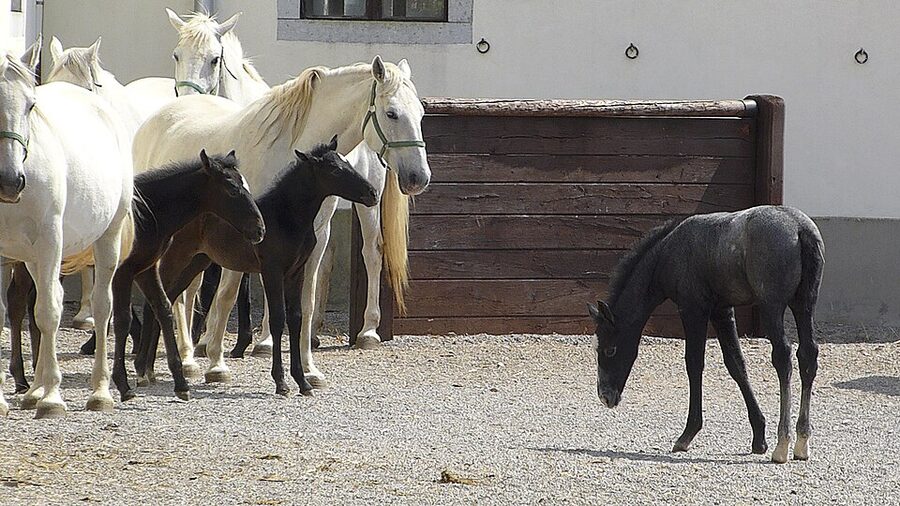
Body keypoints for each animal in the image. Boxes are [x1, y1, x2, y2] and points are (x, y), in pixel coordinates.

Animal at [0, 40, 134, 419]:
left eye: (30, 104)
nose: (10, 182)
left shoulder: (50, 242)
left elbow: (47, 313)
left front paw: (52, 399)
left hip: (105, 241)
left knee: (100, 307)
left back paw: (99, 391)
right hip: (33, 259)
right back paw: (33, 390)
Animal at [107, 150, 265, 402]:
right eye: (231, 189)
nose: (260, 229)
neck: (147, 212)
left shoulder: (144, 268)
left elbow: (163, 308)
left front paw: (179, 382)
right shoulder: (123, 271)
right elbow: (122, 320)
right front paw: (123, 384)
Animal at [132, 140, 377, 397]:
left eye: (347, 163)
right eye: (335, 170)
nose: (372, 193)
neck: (286, 217)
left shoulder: (296, 272)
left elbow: (296, 318)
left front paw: (303, 382)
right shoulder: (272, 271)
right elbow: (278, 319)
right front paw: (281, 383)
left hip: (196, 262)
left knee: (165, 300)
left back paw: (149, 369)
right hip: (176, 259)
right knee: (155, 304)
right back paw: (144, 370)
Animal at [587, 205, 825, 463]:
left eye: (610, 350)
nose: (605, 396)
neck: (668, 253)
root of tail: (800, 228)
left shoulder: (693, 309)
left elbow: (694, 364)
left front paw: (687, 434)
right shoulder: (722, 311)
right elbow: (736, 365)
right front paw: (759, 437)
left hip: (771, 306)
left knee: (782, 357)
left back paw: (783, 444)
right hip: (804, 304)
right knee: (807, 356)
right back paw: (802, 442)